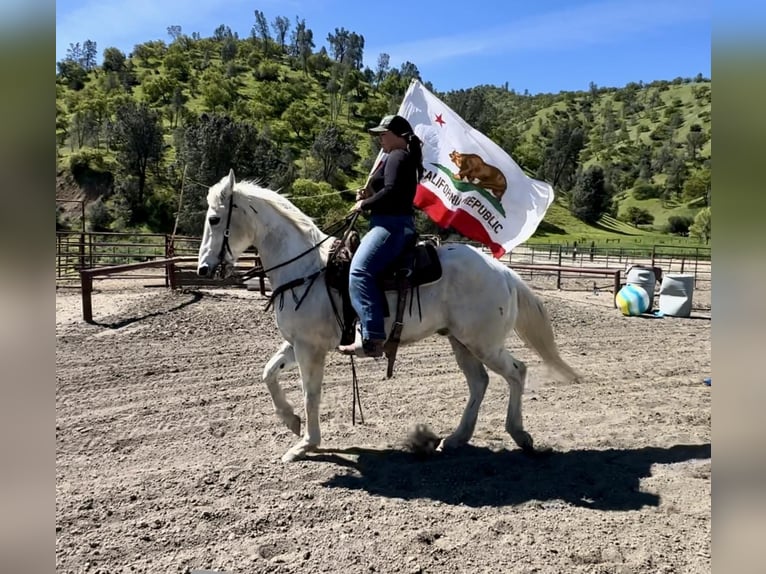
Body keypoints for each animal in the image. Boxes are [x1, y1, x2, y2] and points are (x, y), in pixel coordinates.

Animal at [198, 170, 584, 464]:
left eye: (214, 219)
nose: (204, 269)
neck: (306, 269)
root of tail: (502, 271)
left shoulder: (310, 349)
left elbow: (311, 395)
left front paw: (305, 443)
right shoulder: (297, 344)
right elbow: (268, 374)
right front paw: (292, 422)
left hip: (483, 343)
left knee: (517, 372)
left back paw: (519, 434)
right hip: (461, 342)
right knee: (479, 383)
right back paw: (455, 439)